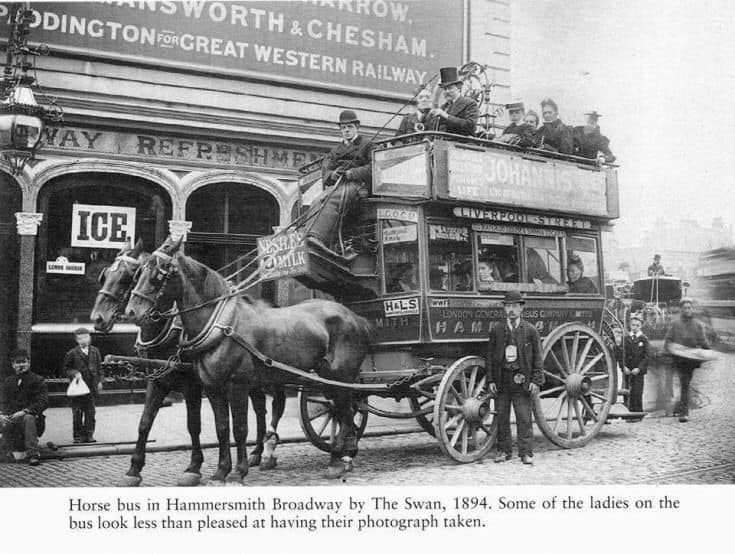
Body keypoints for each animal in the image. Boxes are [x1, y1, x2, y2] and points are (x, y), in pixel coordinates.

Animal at [124, 235, 374, 480]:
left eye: (158, 275)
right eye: (138, 273)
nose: (131, 312)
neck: (222, 324)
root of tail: (356, 317)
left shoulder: (236, 385)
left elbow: (239, 428)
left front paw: (238, 471)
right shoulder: (212, 387)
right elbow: (222, 427)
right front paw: (221, 470)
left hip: (340, 375)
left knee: (345, 410)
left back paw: (340, 458)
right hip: (323, 378)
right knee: (342, 411)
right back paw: (340, 455)